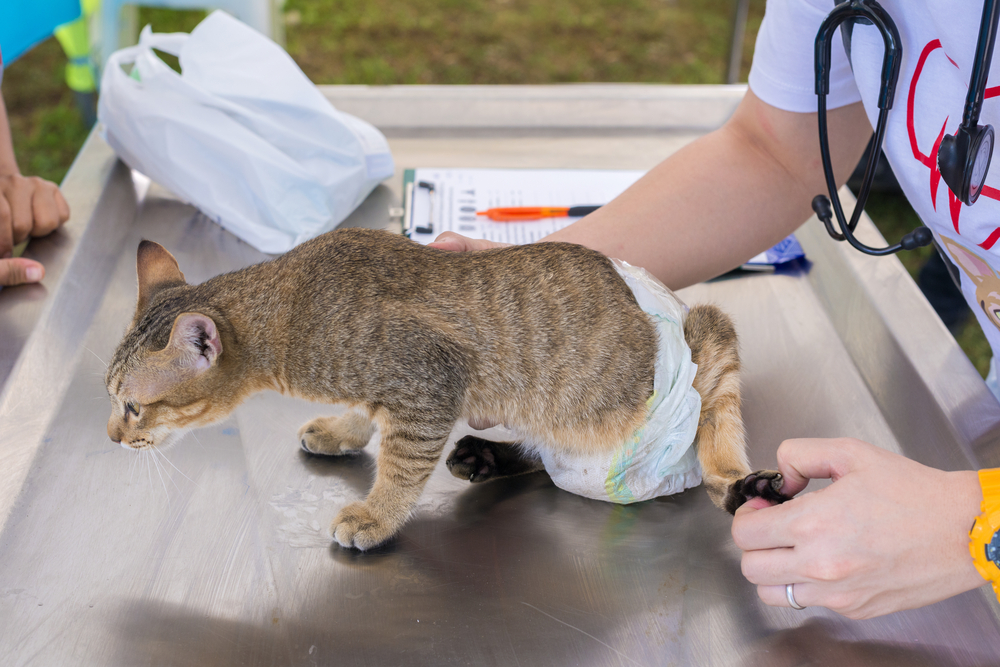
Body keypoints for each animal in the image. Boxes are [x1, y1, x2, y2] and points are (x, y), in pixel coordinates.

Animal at [107, 227, 780, 552]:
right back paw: (486, 456)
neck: (291, 298)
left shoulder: (427, 381)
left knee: (716, 442)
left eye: (133, 406)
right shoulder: (395, 386)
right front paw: (342, 429)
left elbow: (401, 468)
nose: (112, 436)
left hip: (707, 335)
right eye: (112, 401)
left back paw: (741, 483)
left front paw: (376, 516)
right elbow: (365, 413)